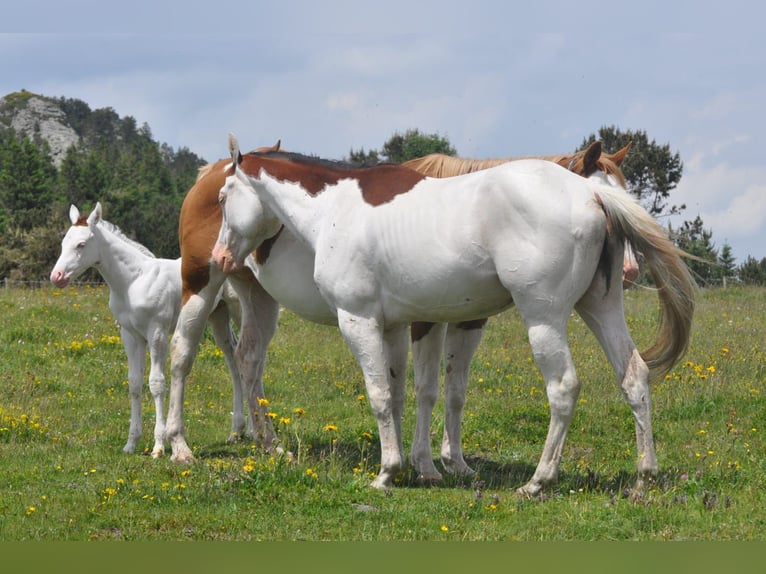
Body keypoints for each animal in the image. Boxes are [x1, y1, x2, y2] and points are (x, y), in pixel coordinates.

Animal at [50, 205, 246, 456]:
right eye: (64, 242)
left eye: (81, 244)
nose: (57, 277)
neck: (133, 281)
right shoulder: (130, 335)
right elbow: (134, 383)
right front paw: (131, 443)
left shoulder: (157, 333)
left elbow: (156, 383)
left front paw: (159, 446)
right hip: (216, 315)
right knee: (233, 359)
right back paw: (235, 432)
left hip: (238, 309)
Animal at [212, 137, 696, 498]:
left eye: (223, 196)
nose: (221, 256)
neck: (335, 210)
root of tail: (590, 194)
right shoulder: (398, 325)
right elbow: (406, 393)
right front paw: (416, 466)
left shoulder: (359, 321)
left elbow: (380, 396)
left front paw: (388, 473)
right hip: (600, 307)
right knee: (634, 376)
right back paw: (644, 476)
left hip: (544, 319)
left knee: (563, 388)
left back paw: (538, 481)